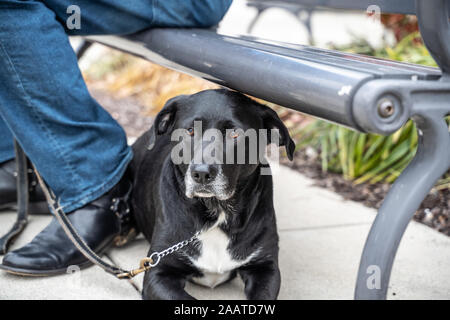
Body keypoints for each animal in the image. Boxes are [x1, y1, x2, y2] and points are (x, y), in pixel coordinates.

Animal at [130, 89, 296, 298]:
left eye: (234, 133)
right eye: (190, 131)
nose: (201, 174)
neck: (218, 214)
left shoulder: (266, 267)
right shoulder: (158, 271)